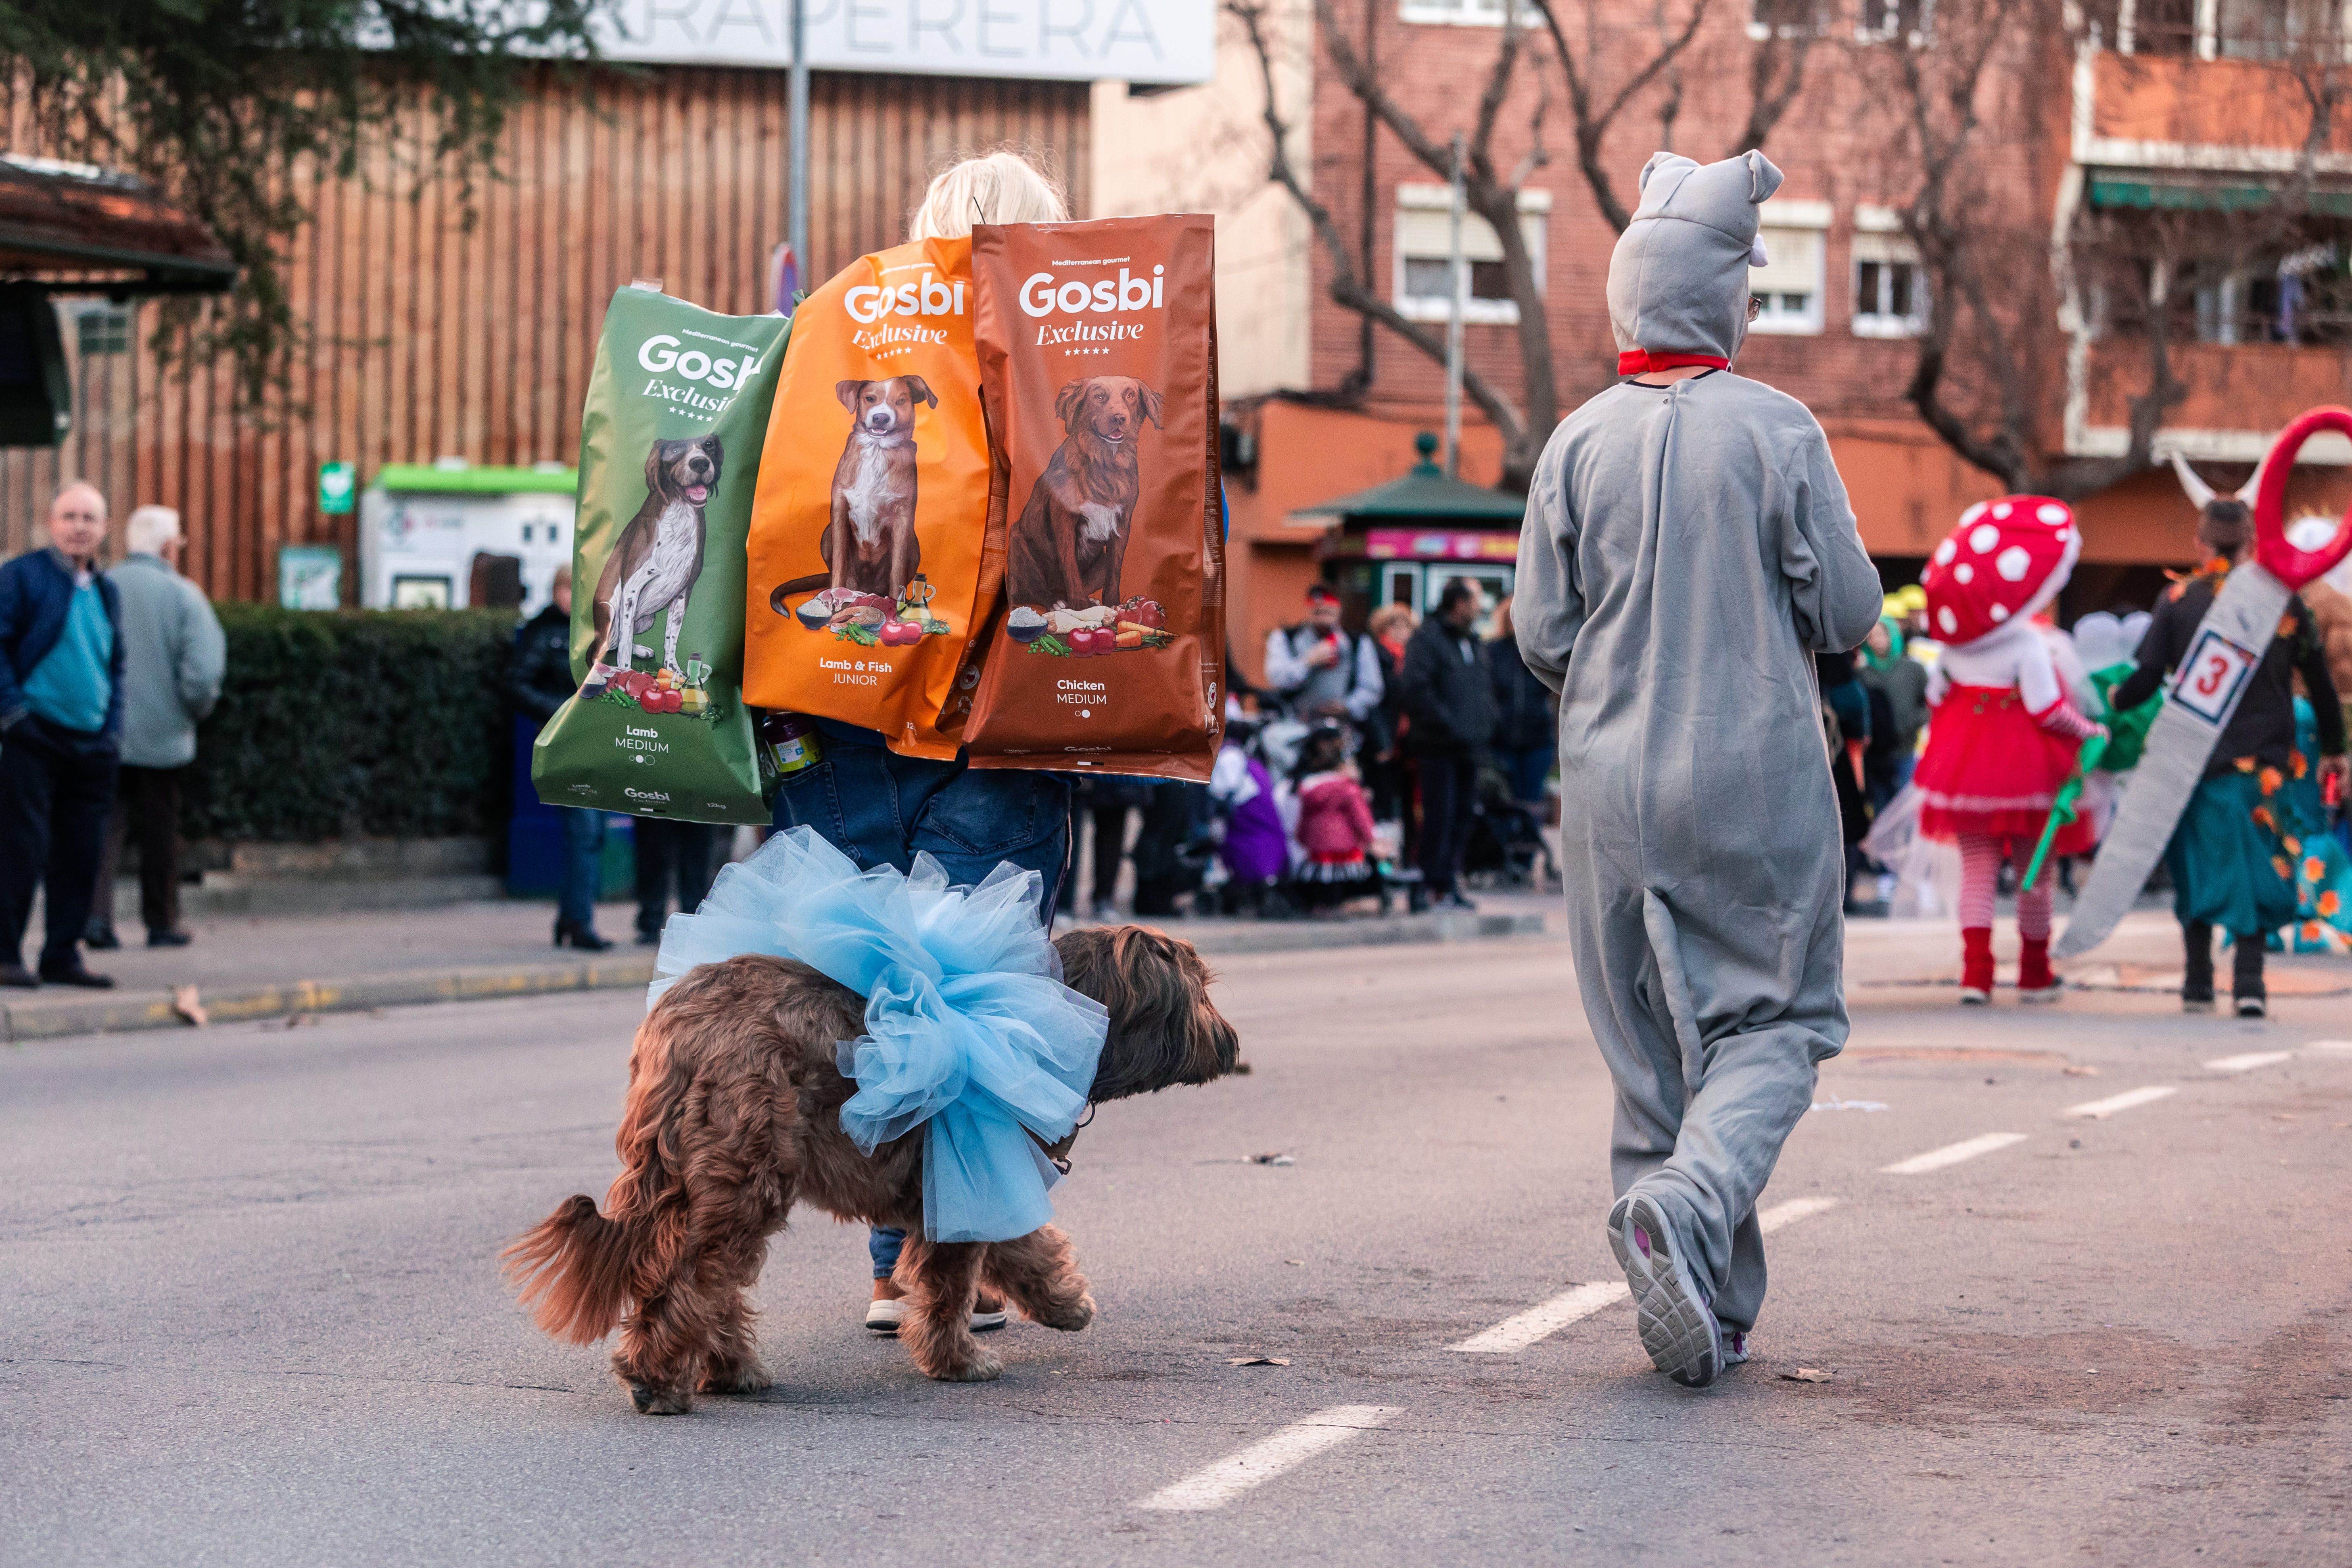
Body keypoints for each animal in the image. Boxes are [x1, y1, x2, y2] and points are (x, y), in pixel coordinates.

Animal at [496, 926, 1232, 1420]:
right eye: (1202, 992)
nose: (1231, 1043)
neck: (1048, 1015)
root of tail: (677, 1021)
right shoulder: (970, 1177)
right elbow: (956, 1282)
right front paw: (965, 1355)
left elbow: (1021, 1248)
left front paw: (1058, 1302)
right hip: (745, 1174)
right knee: (690, 1280)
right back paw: (659, 1377)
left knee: (709, 1282)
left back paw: (729, 1369)